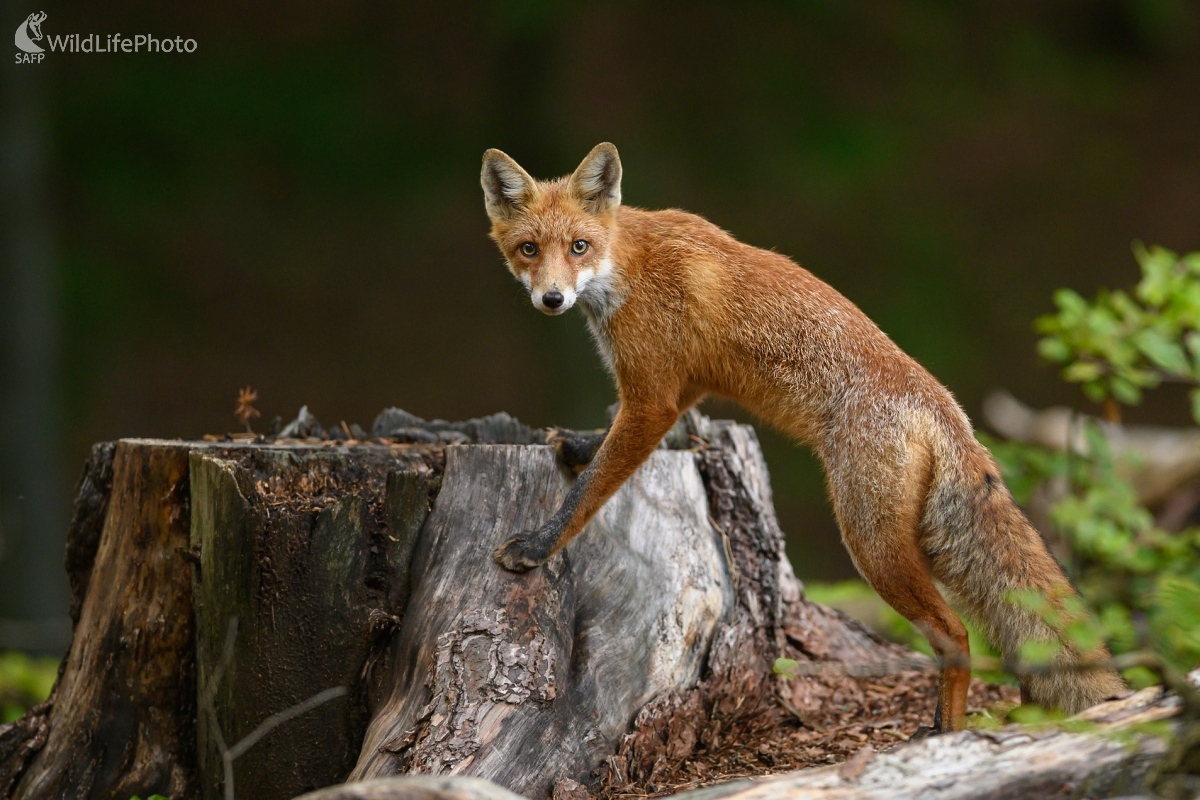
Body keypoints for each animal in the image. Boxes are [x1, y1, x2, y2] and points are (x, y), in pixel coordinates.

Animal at [477, 142, 1123, 734]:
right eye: (529, 249)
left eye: (578, 247)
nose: (552, 298)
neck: (628, 264)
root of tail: (947, 411)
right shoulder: (681, 388)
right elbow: (625, 442)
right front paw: (579, 444)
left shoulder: (652, 397)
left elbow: (590, 489)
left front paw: (537, 547)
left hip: (871, 544)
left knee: (955, 633)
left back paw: (946, 733)